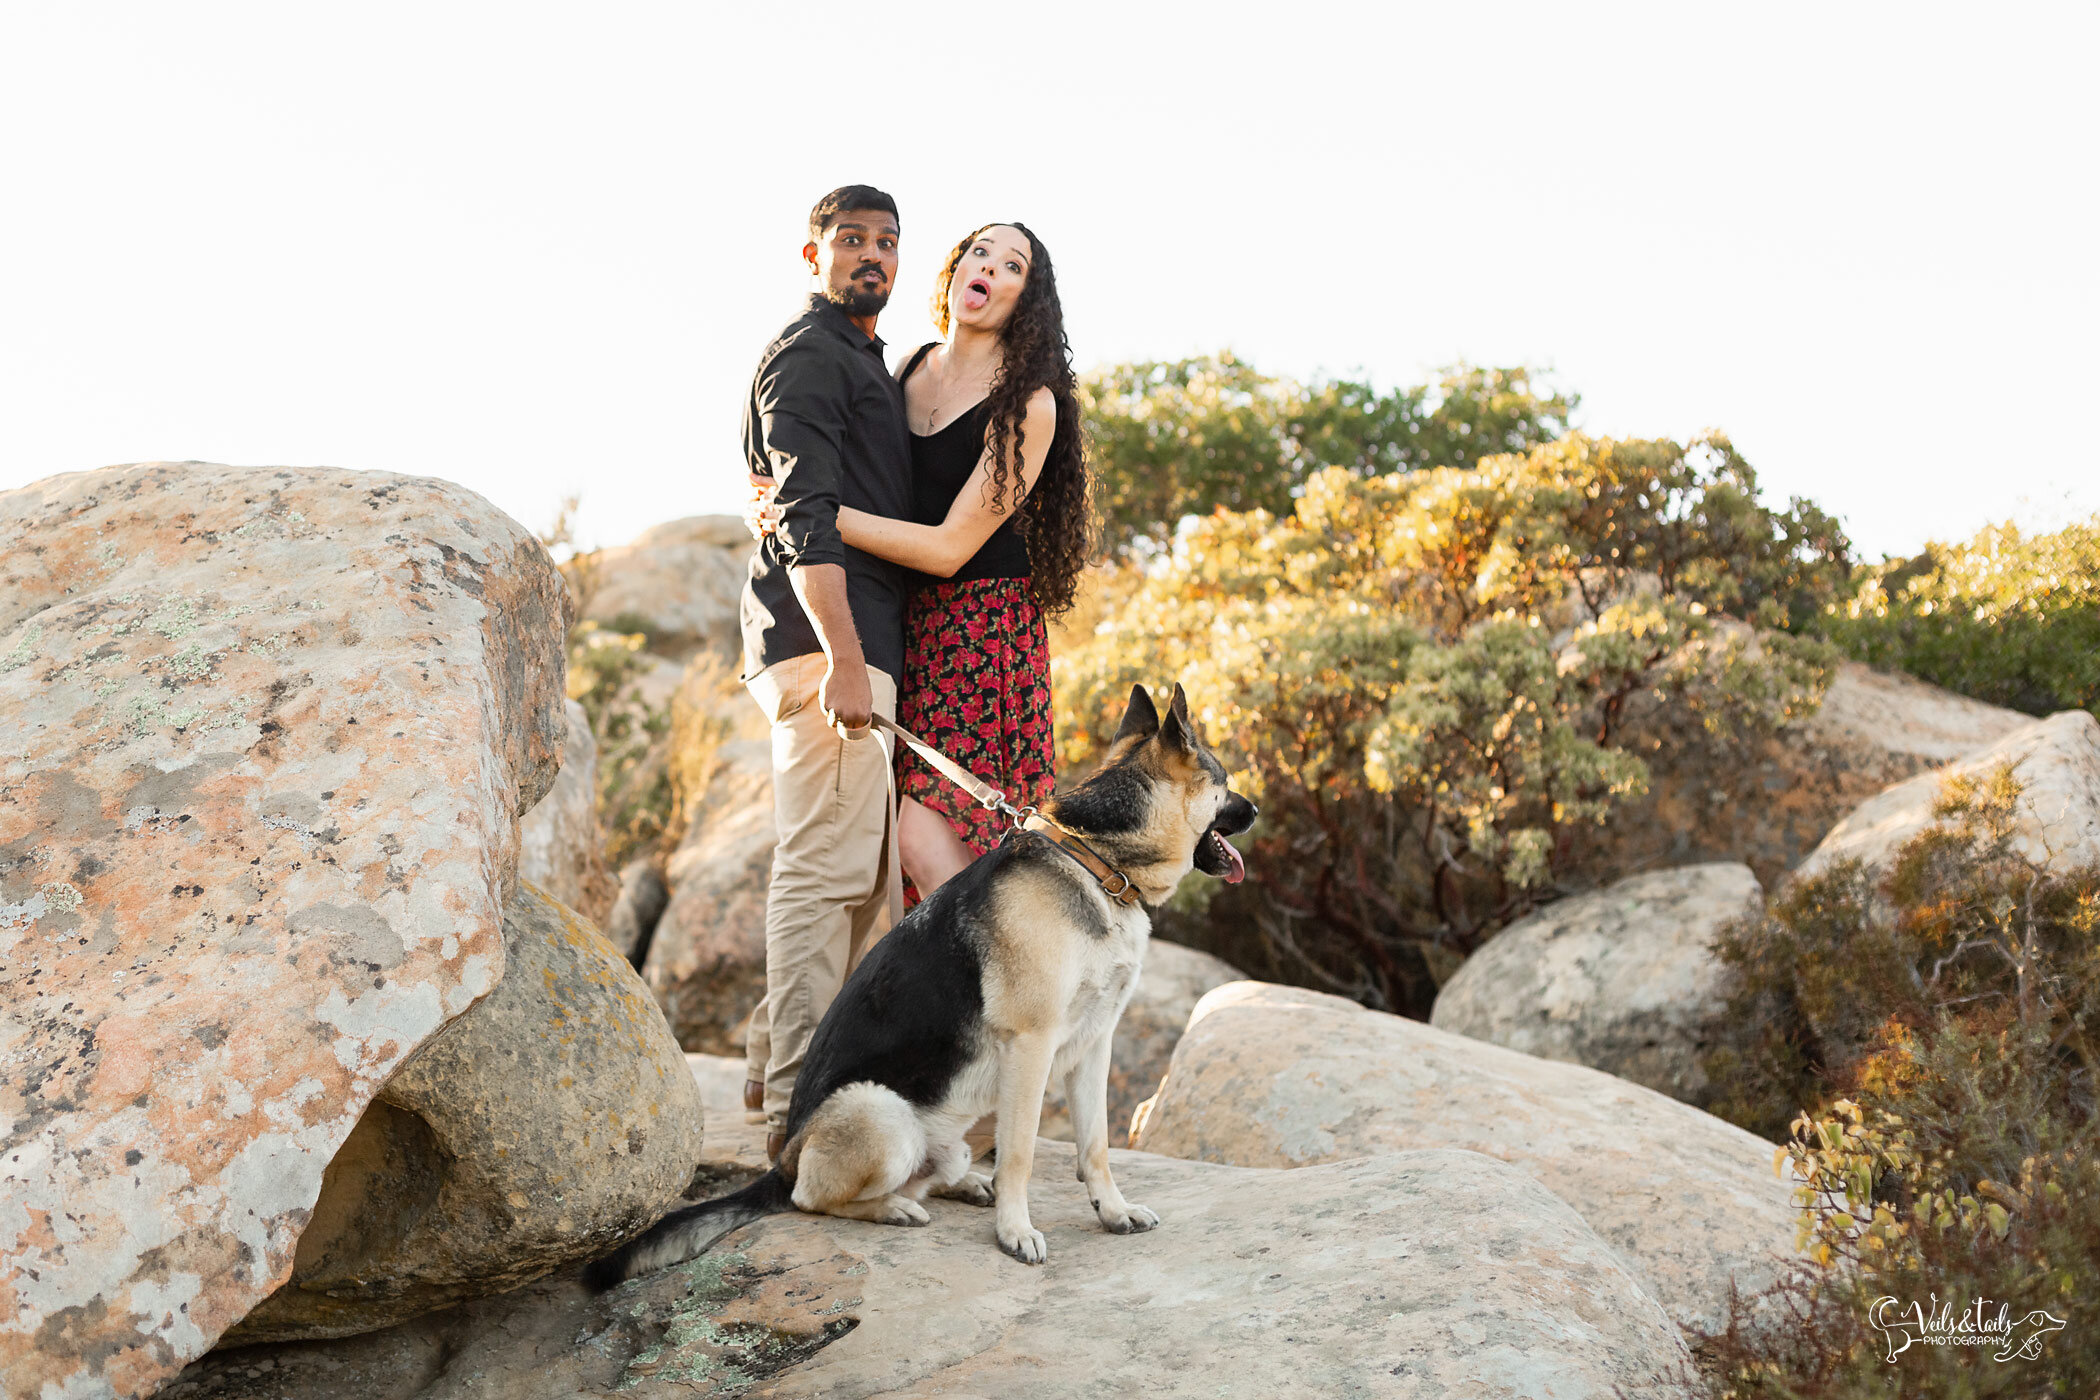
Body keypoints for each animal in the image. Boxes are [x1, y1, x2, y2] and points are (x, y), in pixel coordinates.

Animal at [583, 684, 1251, 1284]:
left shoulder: (1093, 1045)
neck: (1095, 860)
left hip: (944, 1135)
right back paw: (896, 1207)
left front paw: (1111, 1211)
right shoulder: (1032, 1046)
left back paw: (965, 1185)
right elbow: (1022, 1152)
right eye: (1224, 780)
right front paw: (1016, 1231)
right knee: (811, 1199)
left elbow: (1096, 1146)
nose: (1257, 811)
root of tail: (782, 1162)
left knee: (938, 1172)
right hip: (882, 1113)